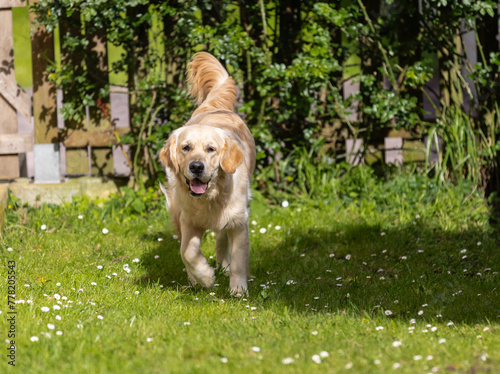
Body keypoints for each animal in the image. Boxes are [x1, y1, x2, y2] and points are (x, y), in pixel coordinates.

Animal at [159, 51, 256, 296]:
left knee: (222, 239)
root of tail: (213, 105)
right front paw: (204, 277)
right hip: (176, 209)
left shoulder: (239, 221)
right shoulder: (188, 219)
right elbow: (187, 252)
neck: (210, 197)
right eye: (186, 147)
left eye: (211, 149)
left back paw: (223, 266)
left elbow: (239, 259)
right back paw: (194, 279)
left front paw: (238, 290)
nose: (196, 167)